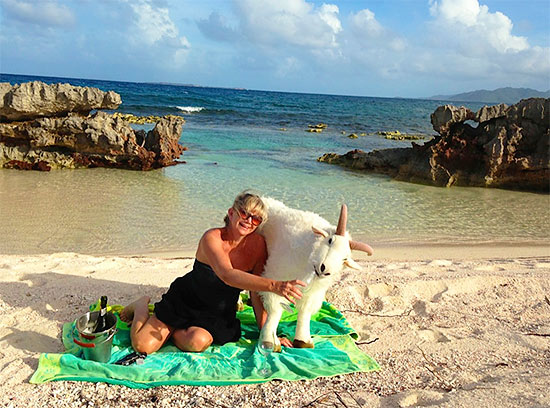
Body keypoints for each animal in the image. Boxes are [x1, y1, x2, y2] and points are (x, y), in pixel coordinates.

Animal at [258, 197, 376, 350]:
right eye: (330, 240)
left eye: (345, 259)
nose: (324, 269)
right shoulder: (276, 276)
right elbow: (275, 309)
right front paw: (270, 341)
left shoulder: (312, 293)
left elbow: (305, 312)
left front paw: (303, 341)